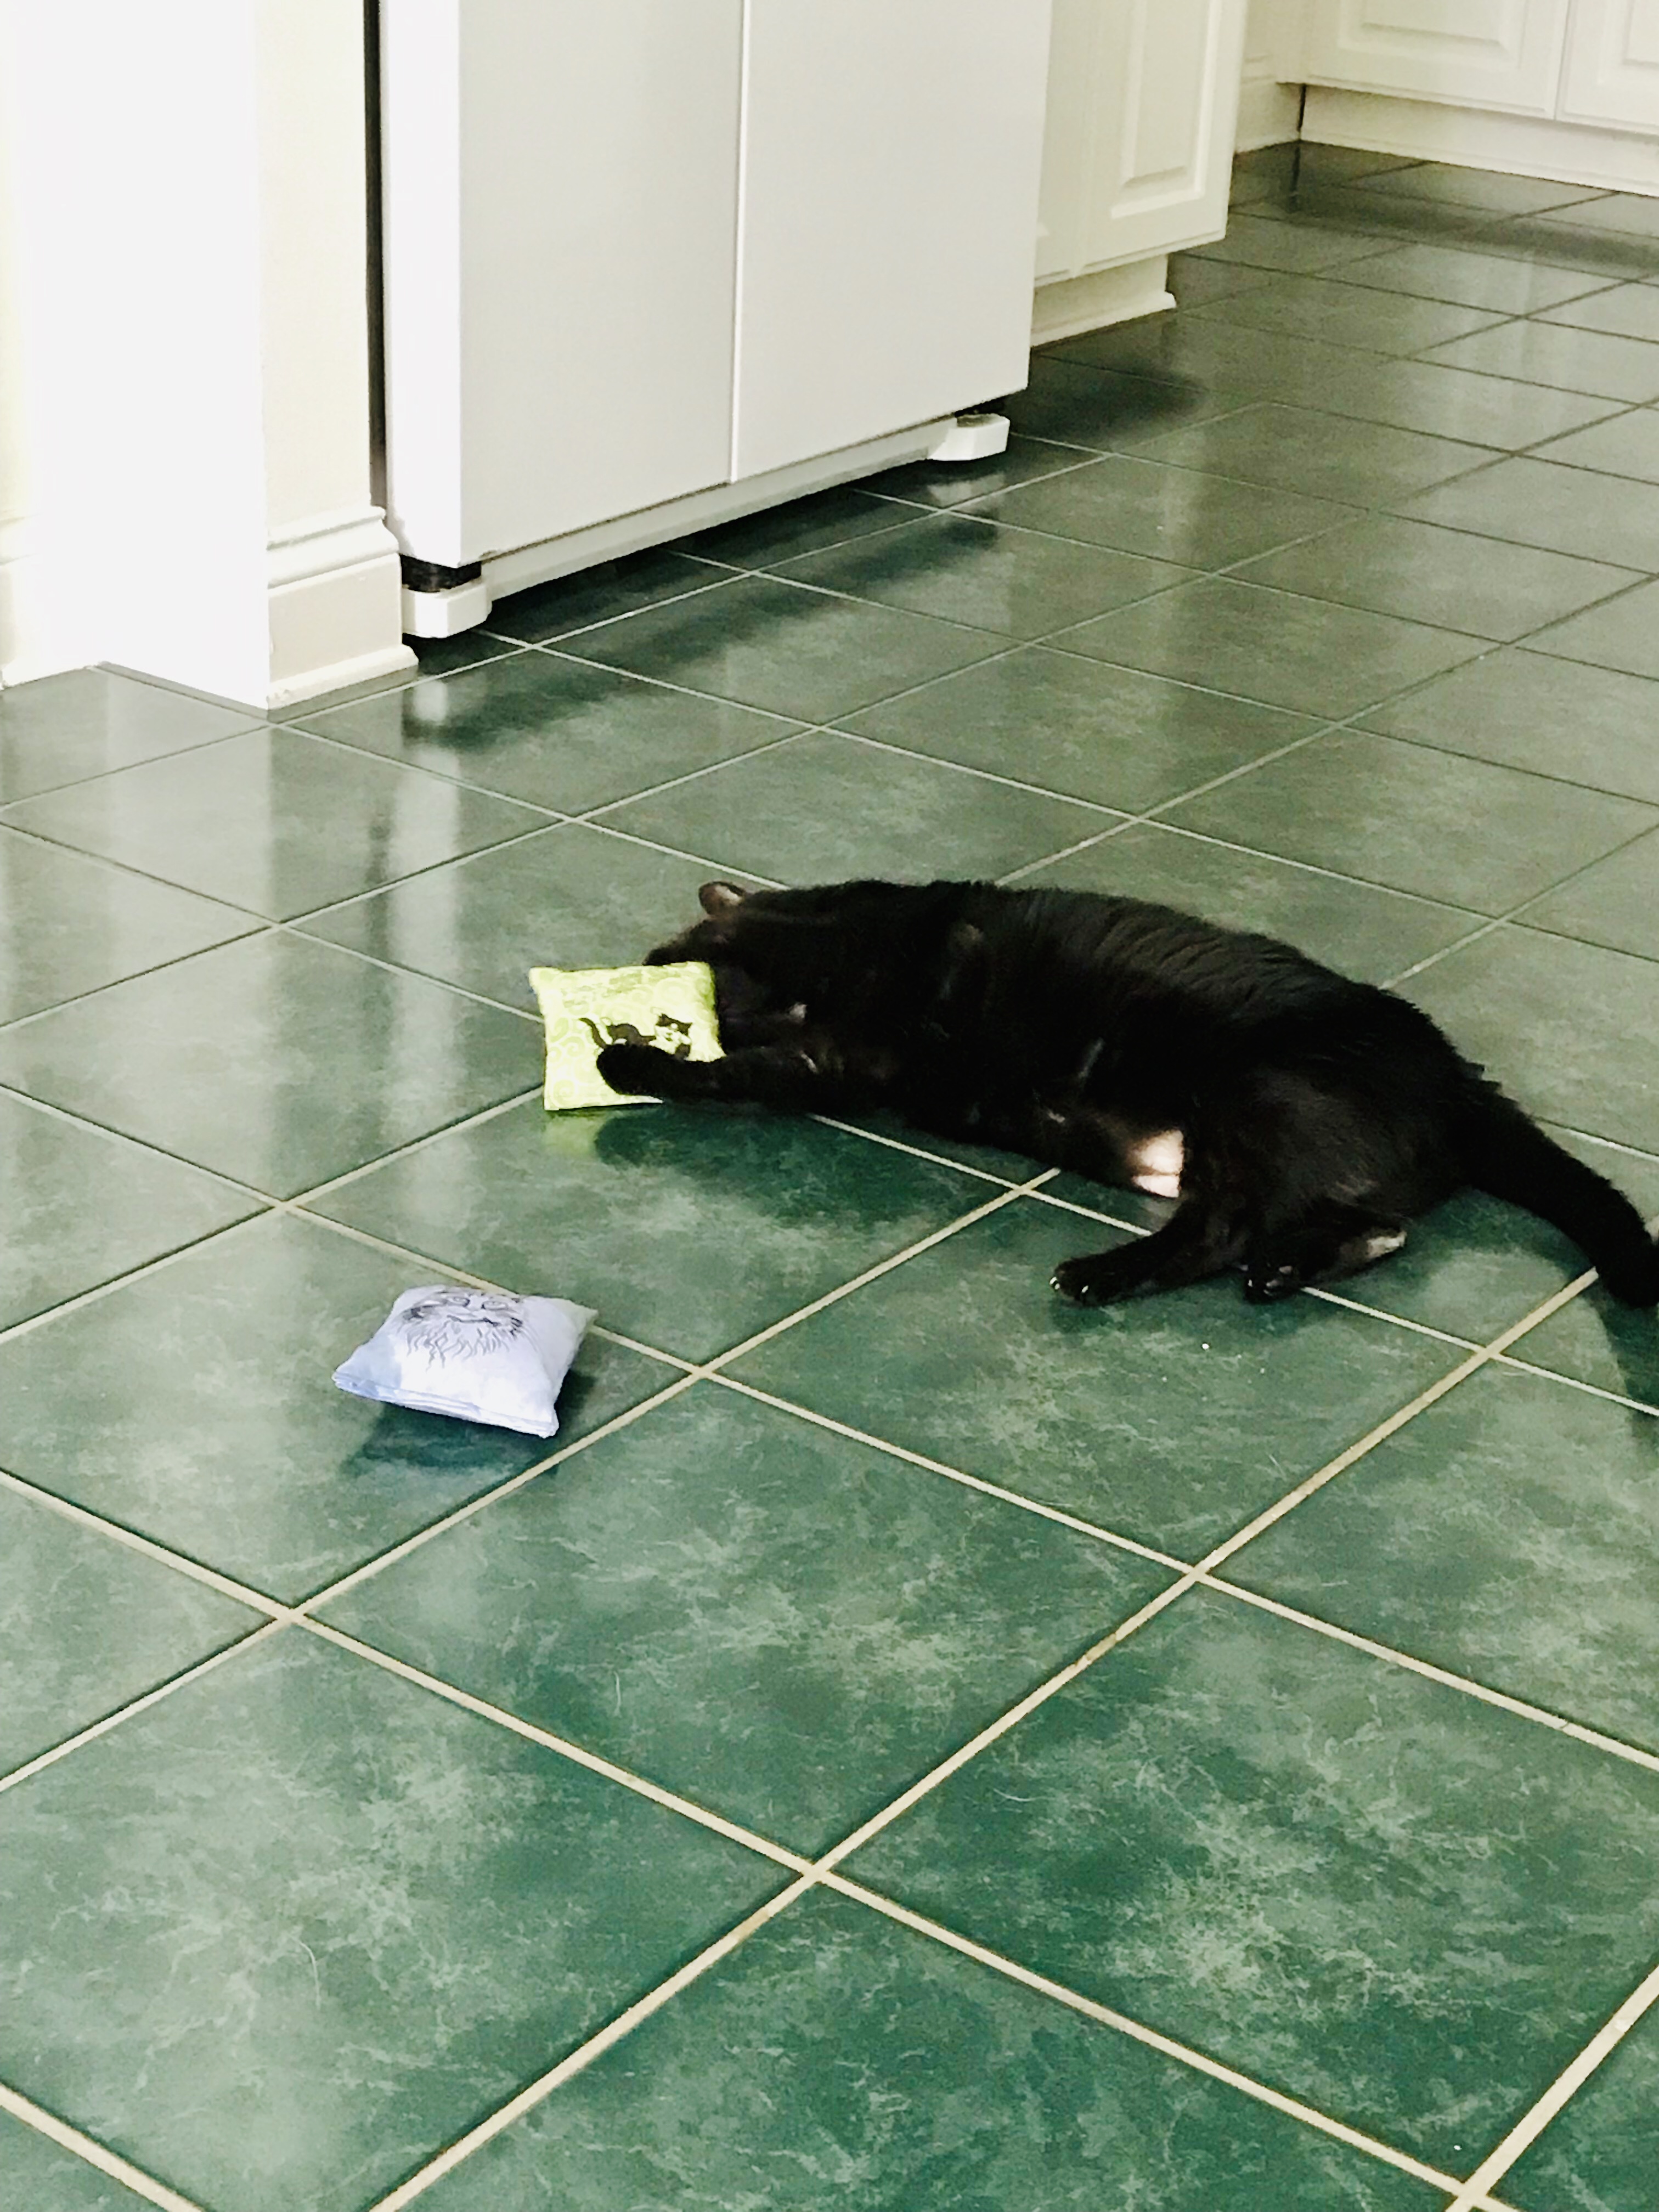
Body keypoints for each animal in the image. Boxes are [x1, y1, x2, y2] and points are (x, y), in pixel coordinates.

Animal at [595, 878, 1659, 1309]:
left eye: (657, 960)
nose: (637, 970)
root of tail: (1459, 1075)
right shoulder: (832, 1054)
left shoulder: (846, 1050)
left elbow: (725, 1075)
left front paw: (627, 1059)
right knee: (1374, 1228)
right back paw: (1285, 1272)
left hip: (1250, 1098)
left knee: (1219, 1230)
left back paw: (1101, 1275)